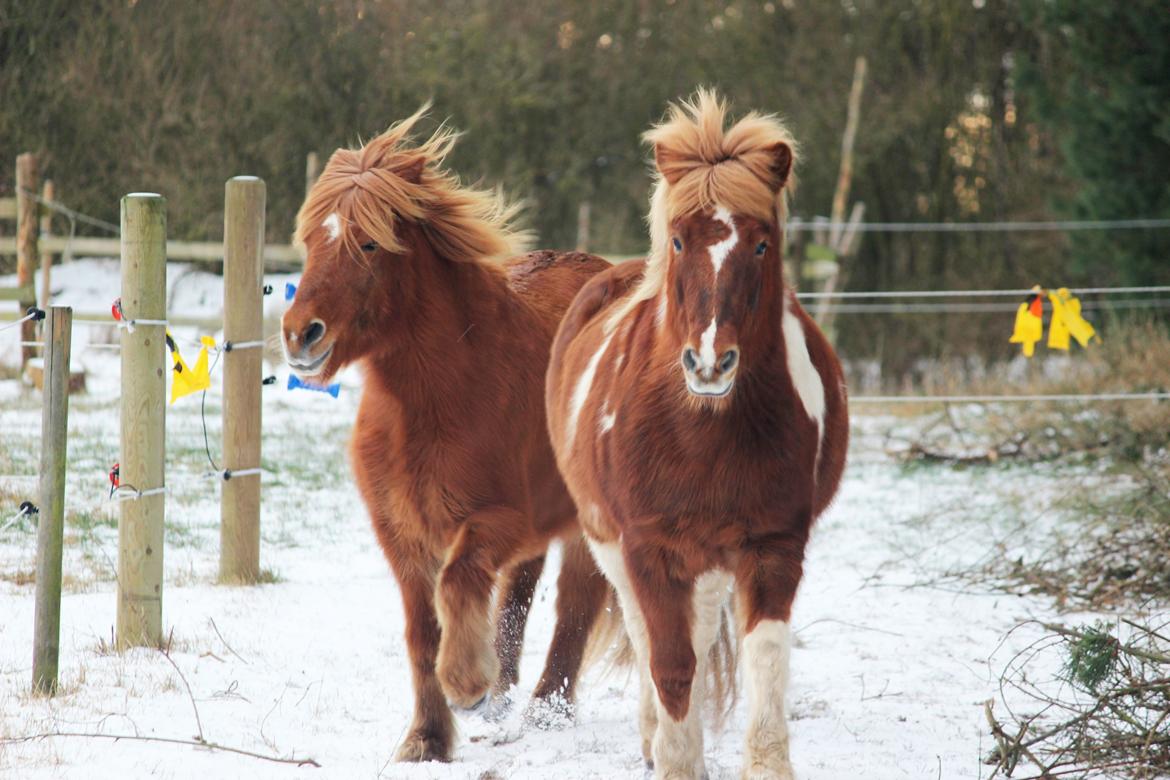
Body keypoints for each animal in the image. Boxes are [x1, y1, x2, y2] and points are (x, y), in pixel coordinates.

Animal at [280, 108, 613, 762]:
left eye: (368, 243)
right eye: (310, 241)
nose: (300, 333)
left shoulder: (503, 520)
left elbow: (460, 582)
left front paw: (466, 685)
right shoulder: (401, 533)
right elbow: (421, 632)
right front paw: (428, 740)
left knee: (575, 603)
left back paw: (545, 712)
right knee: (518, 598)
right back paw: (506, 698)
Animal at [542, 88, 847, 776]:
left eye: (761, 245)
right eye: (679, 241)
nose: (709, 364)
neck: (701, 432)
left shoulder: (775, 547)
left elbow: (765, 662)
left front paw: (766, 764)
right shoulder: (649, 549)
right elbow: (670, 663)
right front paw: (677, 759)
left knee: (704, 635)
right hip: (610, 543)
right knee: (648, 636)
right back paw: (652, 739)